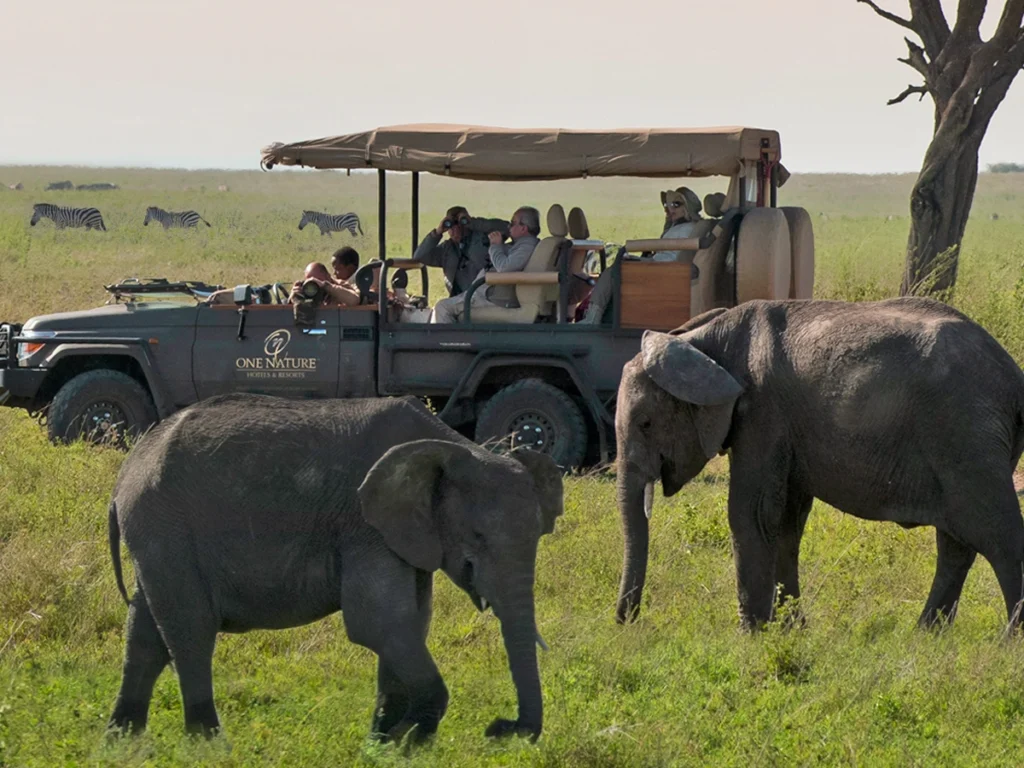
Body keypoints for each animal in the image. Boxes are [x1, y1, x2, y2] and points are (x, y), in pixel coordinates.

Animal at [108, 393, 565, 741]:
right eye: (477, 537)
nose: (500, 728)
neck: (454, 447)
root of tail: (129, 468)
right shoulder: (364, 524)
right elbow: (377, 623)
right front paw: (408, 740)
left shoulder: (404, 534)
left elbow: (410, 624)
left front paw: (384, 743)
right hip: (165, 524)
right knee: (191, 629)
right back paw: (209, 744)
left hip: (158, 533)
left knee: (146, 633)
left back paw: (123, 742)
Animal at [610, 299, 1024, 630]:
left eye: (645, 424)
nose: (626, 621)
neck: (703, 341)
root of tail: (1014, 377)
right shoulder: (786, 430)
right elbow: (786, 522)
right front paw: (791, 630)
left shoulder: (762, 413)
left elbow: (751, 513)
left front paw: (752, 634)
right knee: (956, 545)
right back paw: (925, 637)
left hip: (966, 434)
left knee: (998, 536)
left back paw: (1008, 642)